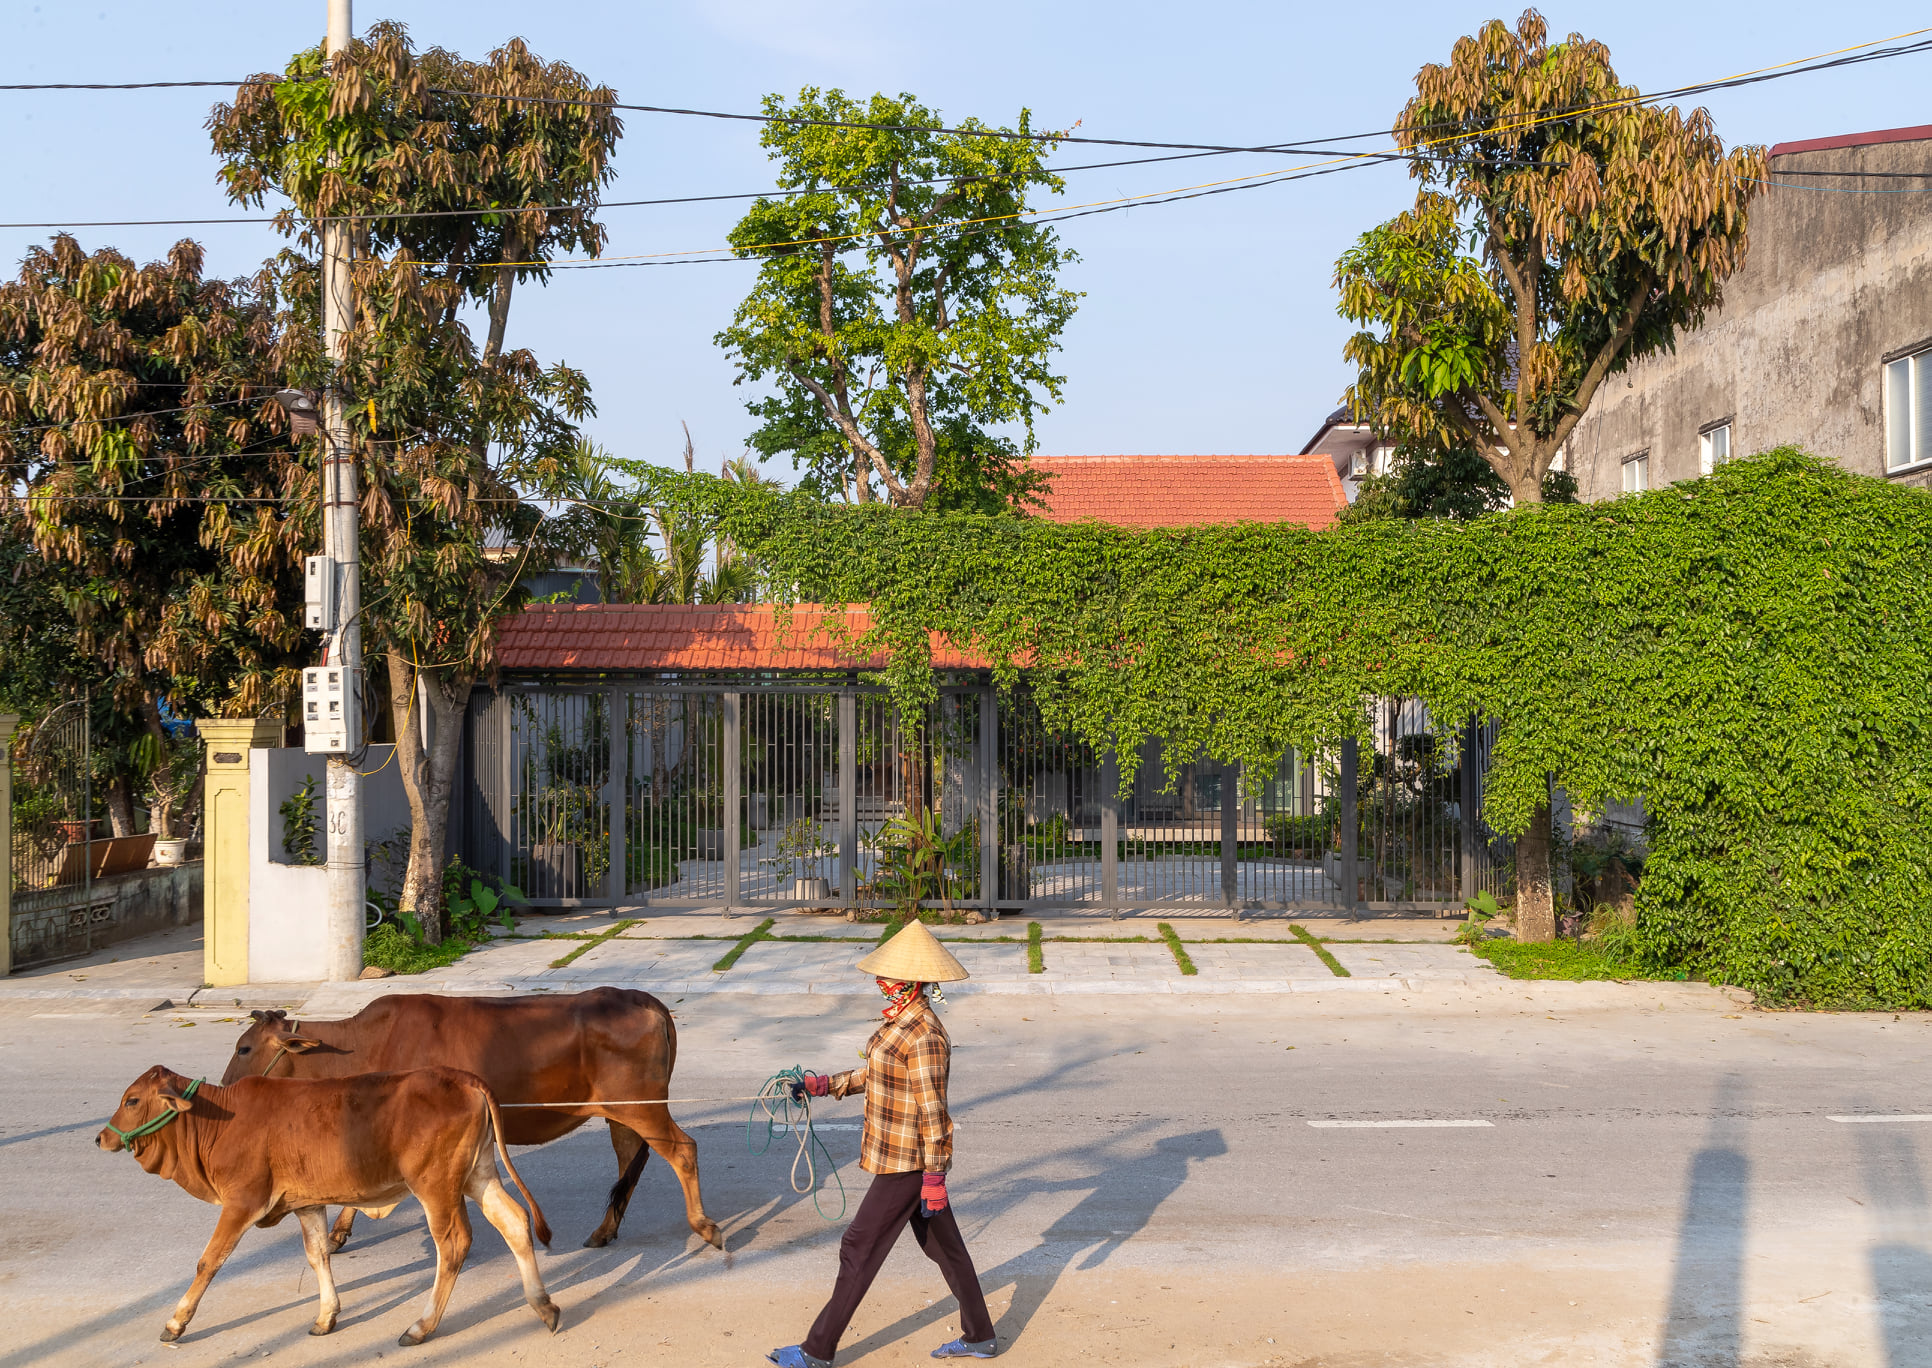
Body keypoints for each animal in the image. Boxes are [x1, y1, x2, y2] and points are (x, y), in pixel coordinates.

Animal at [99, 1066, 564, 1344]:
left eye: (132, 1100)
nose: (101, 1137)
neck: (215, 1123)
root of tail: (463, 1078)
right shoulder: (307, 1204)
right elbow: (318, 1255)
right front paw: (327, 1316)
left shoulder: (241, 1203)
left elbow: (209, 1261)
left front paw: (176, 1322)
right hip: (477, 1175)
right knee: (514, 1222)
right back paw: (544, 1306)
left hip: (435, 1187)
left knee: (453, 1245)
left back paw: (421, 1326)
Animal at [224, 981, 726, 1259]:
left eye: (244, 1048)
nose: (226, 1088)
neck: (362, 1043)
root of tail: (647, 1000)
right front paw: (339, 1233)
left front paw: (339, 1231)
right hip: (621, 1113)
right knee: (629, 1164)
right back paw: (603, 1231)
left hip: (643, 1107)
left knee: (682, 1151)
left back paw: (705, 1227)